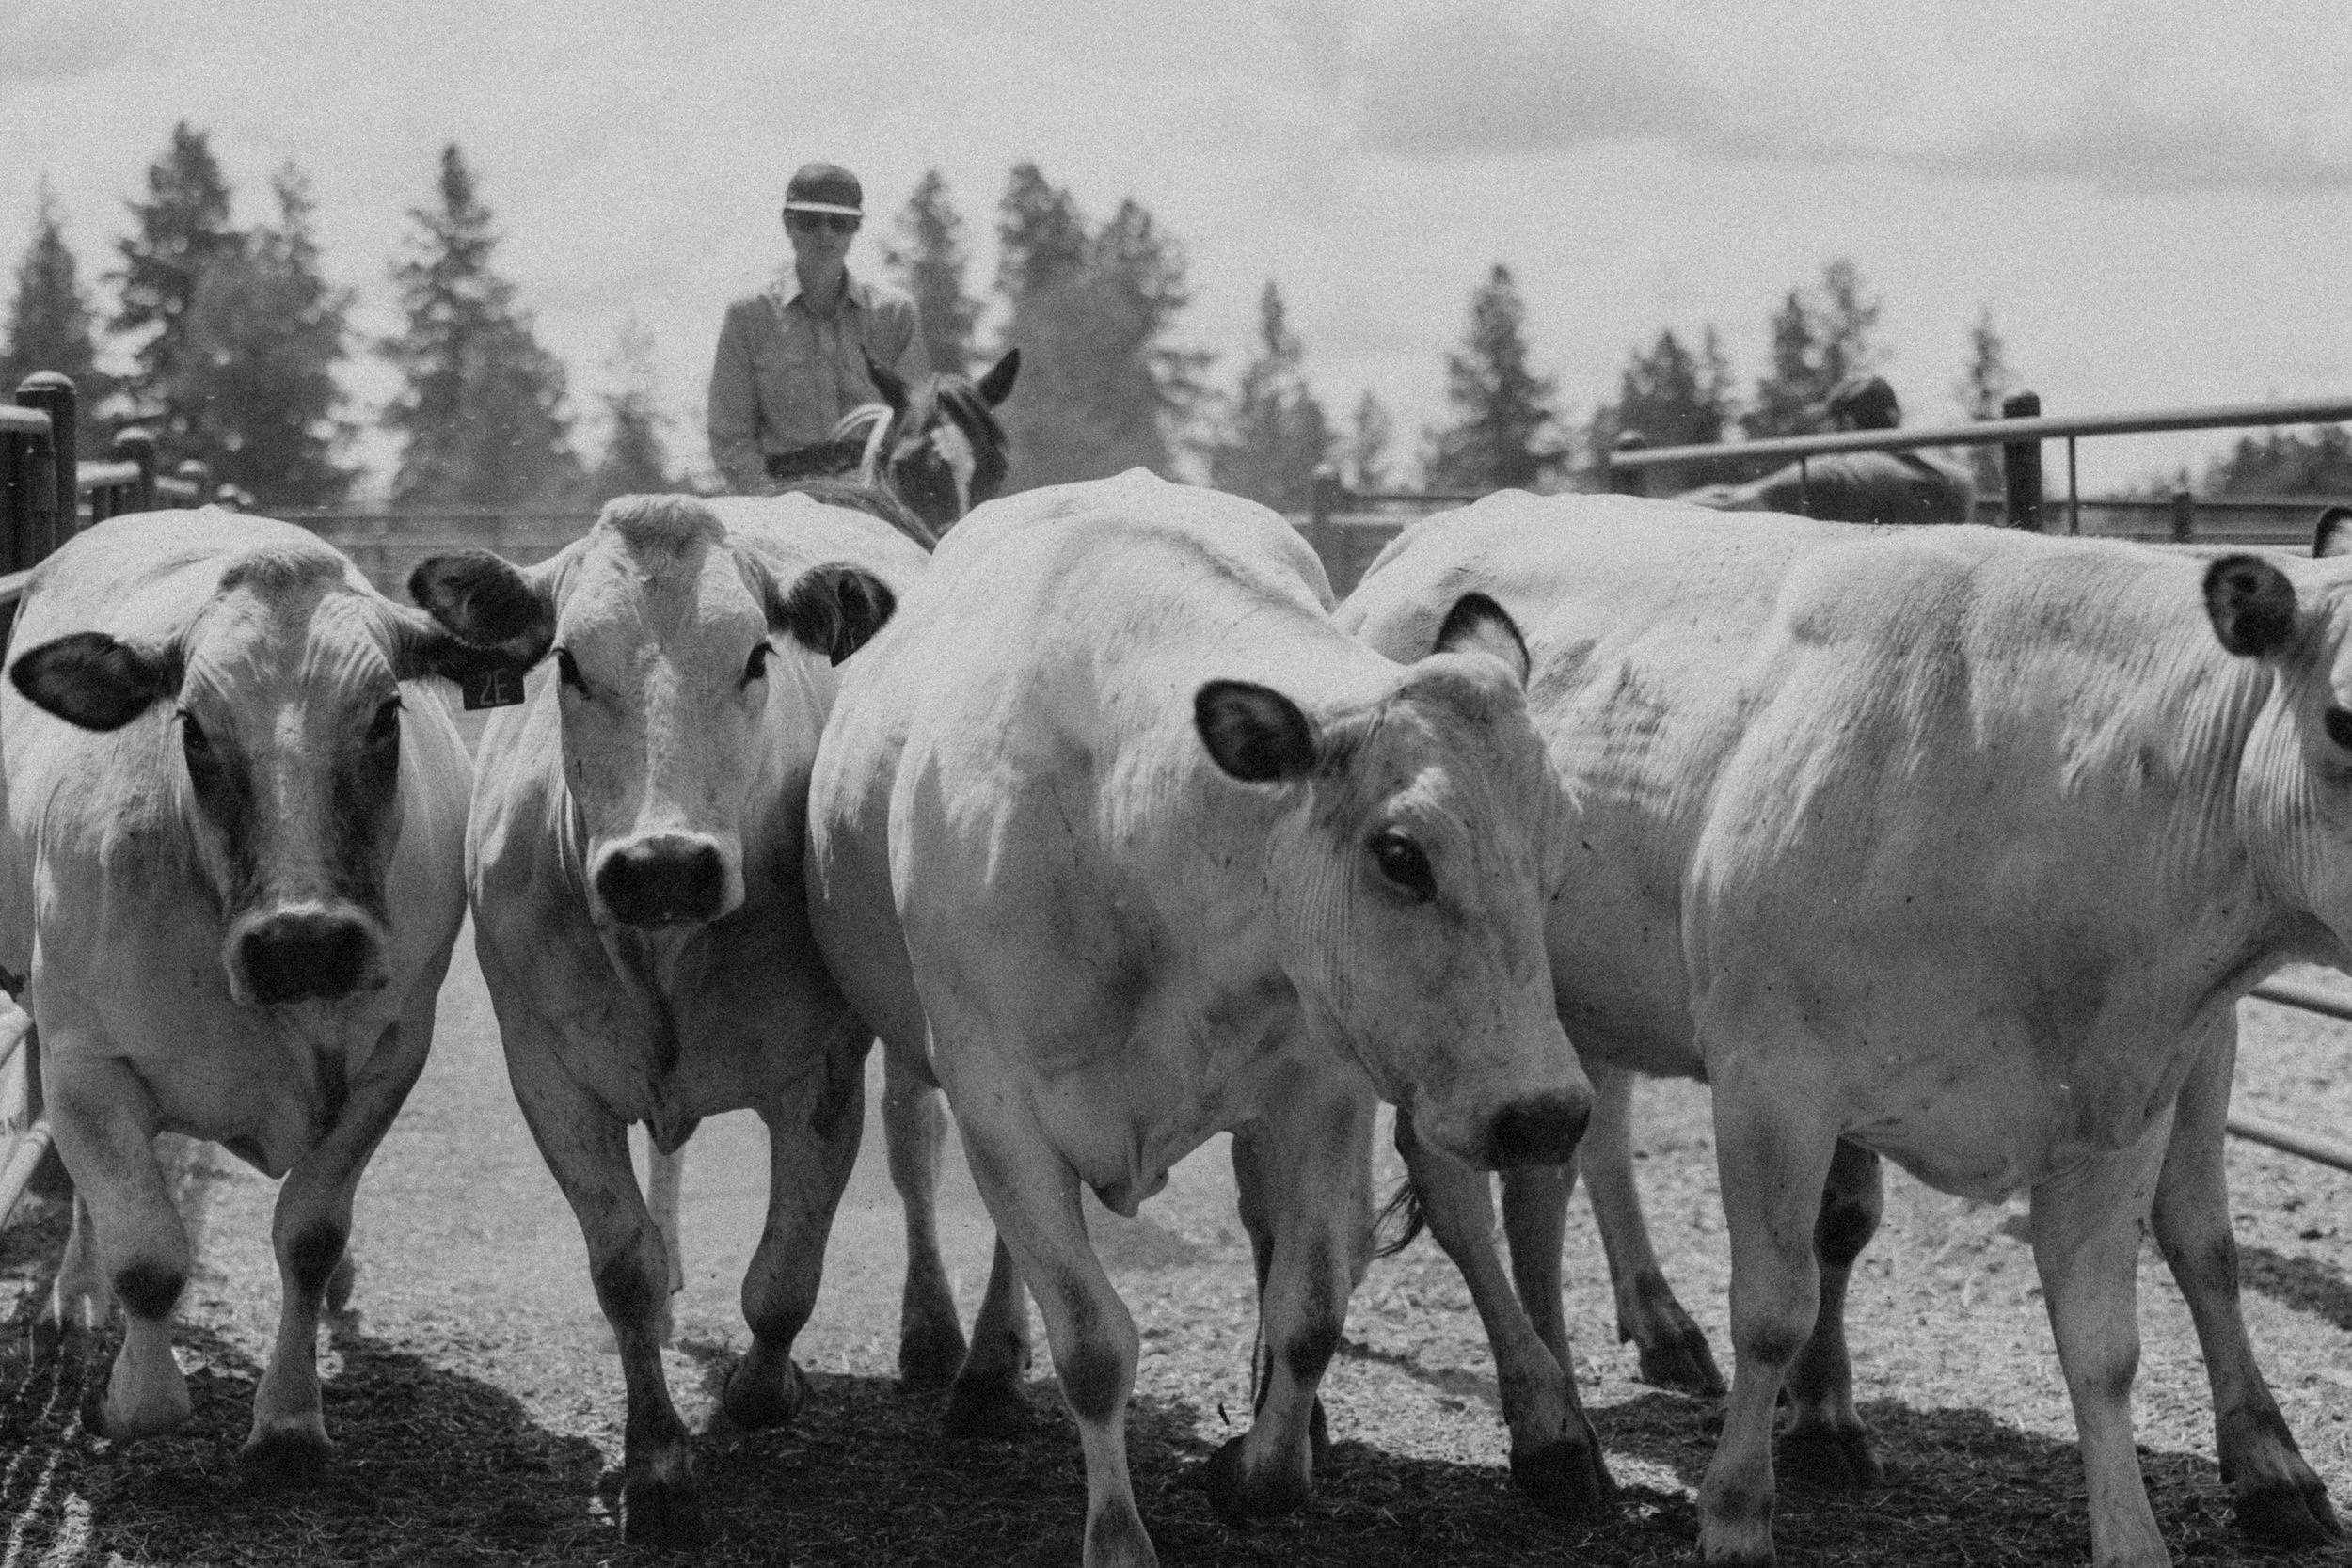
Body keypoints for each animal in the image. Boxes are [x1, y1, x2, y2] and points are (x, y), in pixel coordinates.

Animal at [0, 510, 527, 1475]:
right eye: (194, 730)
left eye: (386, 715)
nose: (303, 940)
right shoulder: (82, 1058)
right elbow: (147, 1254)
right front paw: (132, 1397)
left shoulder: (396, 1051)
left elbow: (309, 1235)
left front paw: (287, 1420)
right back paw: (76, 1295)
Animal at [408, 490, 942, 1545]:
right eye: (569, 661)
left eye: (755, 656)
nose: (662, 866)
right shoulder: (551, 1078)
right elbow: (625, 1269)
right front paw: (656, 1464)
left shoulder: (822, 1078)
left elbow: (785, 1274)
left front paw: (763, 1389)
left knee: (921, 1141)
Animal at [805, 469, 1593, 1568]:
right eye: (1401, 854)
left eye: (1561, 845)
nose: (1547, 1114)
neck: (1130, 827)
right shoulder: (995, 1100)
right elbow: (1093, 1341)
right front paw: (1118, 1534)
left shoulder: (1318, 1090)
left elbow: (1311, 1306)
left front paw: (1261, 1469)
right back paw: (985, 1372)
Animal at [1340, 491, 2346, 1567]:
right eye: (2344, 717)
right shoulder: (1772, 1079)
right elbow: (1774, 1308)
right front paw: (1738, 1511)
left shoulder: (2136, 1087)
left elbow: (2128, 1313)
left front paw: (2226, 1488)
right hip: (1442, 1019)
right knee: (1459, 1191)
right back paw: (1551, 1432)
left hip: (1557, 1011)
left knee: (1550, 1173)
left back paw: (1601, 1367)